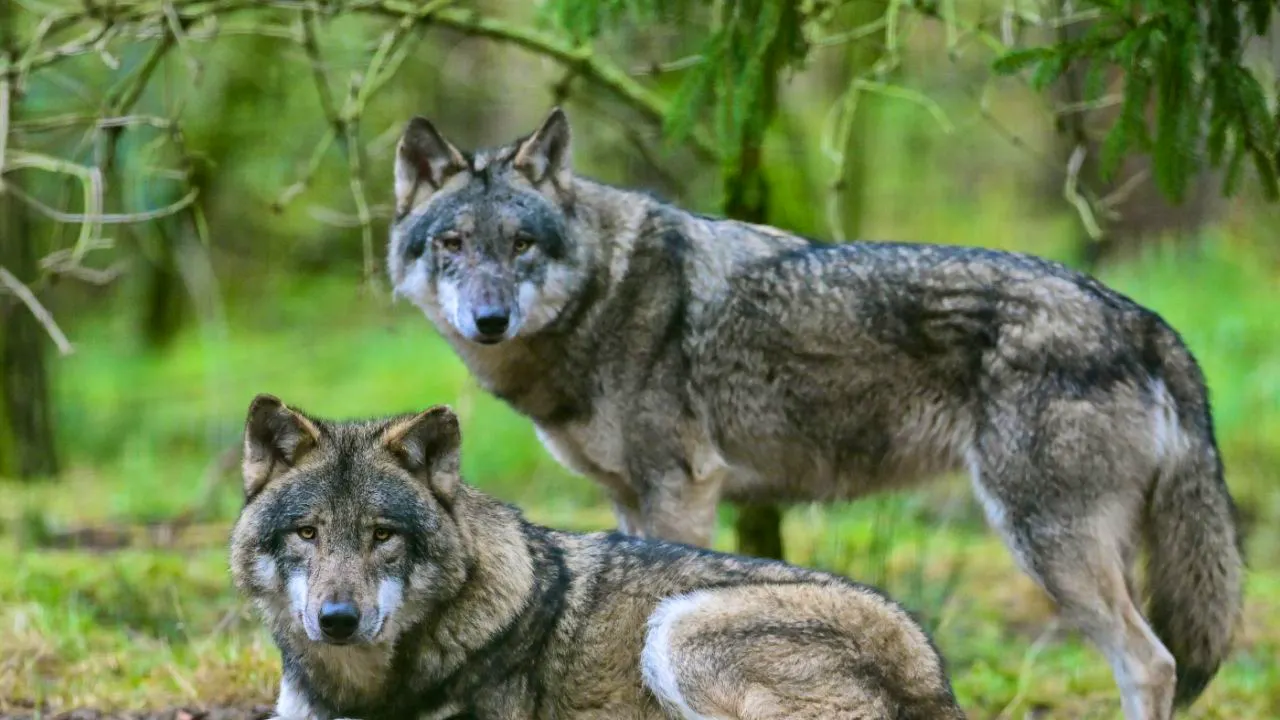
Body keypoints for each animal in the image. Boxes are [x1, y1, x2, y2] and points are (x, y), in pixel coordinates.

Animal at [229, 393, 965, 720]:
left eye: (383, 535)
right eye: (307, 533)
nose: (337, 619)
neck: (363, 693)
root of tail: (933, 669)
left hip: (678, 629)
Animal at [382, 106, 1246, 720]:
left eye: (521, 244)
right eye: (452, 244)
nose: (489, 319)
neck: (604, 297)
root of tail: (1143, 318)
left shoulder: (681, 489)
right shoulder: (631, 500)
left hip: (1046, 543)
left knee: (1153, 664)